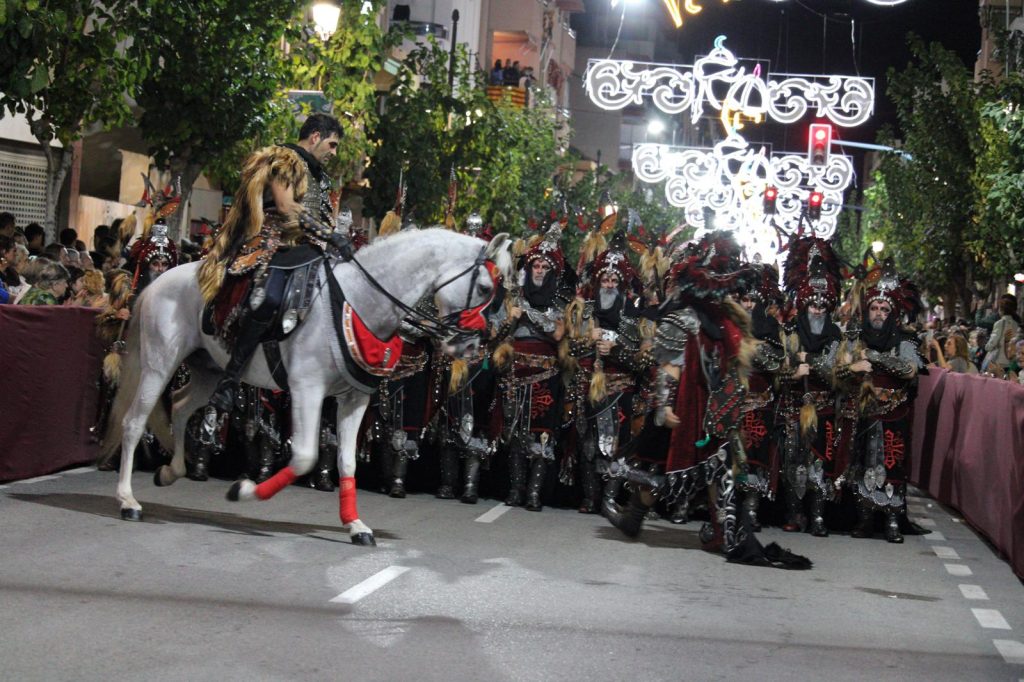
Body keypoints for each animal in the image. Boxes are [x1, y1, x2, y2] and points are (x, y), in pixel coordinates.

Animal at [101, 228, 512, 545]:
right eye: (485, 287)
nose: (472, 347)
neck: (358, 302)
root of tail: (158, 282)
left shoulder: (354, 399)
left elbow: (346, 460)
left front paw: (356, 526)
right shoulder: (306, 390)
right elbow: (304, 457)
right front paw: (244, 491)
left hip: (209, 370)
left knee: (181, 405)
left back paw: (172, 470)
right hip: (159, 364)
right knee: (135, 422)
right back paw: (127, 500)